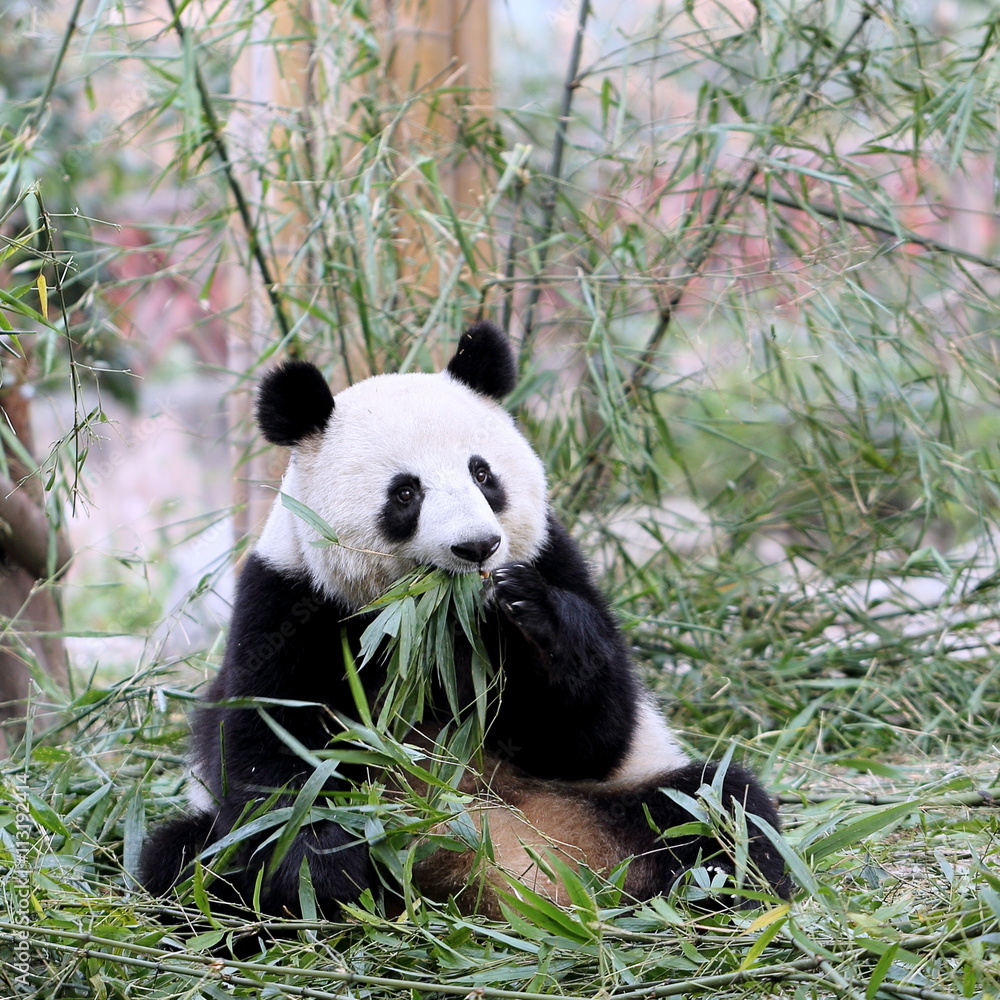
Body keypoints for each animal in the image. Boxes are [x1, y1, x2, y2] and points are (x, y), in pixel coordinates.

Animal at [138, 321, 791, 919]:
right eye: (406, 493)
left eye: (483, 474)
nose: (477, 547)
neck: (429, 622)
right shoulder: (289, 602)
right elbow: (271, 750)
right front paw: (325, 868)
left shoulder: (553, 557)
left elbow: (594, 731)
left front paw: (531, 615)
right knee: (190, 858)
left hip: (614, 801)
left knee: (718, 808)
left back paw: (729, 898)